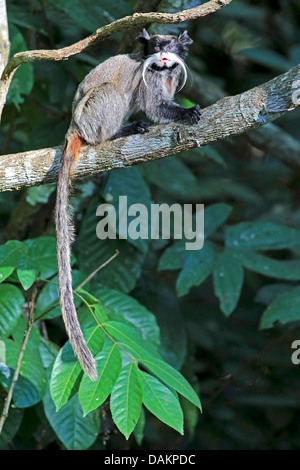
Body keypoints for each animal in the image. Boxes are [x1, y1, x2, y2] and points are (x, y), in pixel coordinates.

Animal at [56, 28, 202, 382]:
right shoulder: (149, 78)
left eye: (170, 46)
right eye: (158, 45)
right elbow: (155, 107)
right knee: (111, 94)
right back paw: (115, 133)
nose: (164, 54)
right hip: (91, 117)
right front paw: (185, 114)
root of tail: (73, 127)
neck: (163, 72)